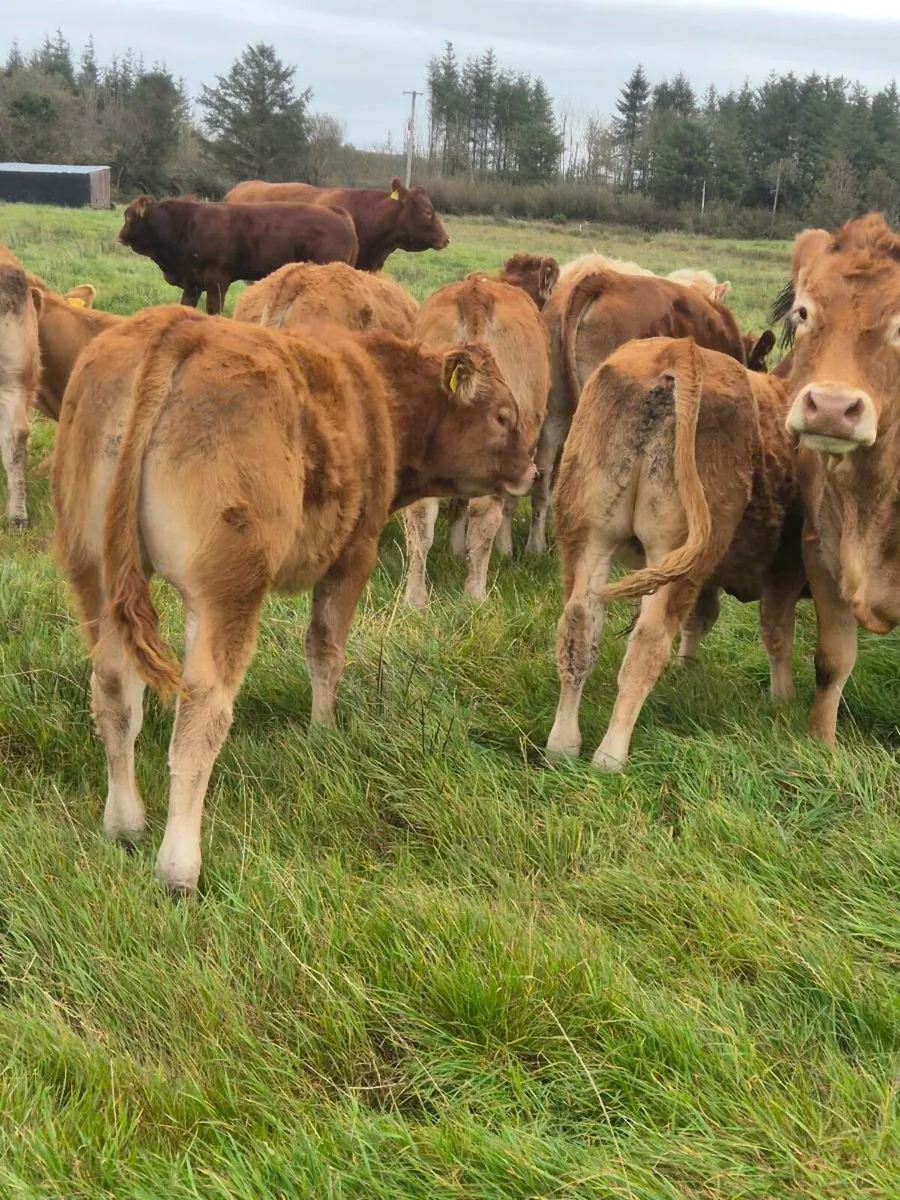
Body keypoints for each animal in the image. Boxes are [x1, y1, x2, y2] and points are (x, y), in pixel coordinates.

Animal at [51, 306, 536, 894]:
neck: (377, 394)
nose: (531, 470)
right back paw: (179, 868)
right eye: (503, 416)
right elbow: (325, 649)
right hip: (225, 589)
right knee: (201, 713)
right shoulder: (354, 553)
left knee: (114, 694)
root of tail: (178, 326)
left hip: (95, 572)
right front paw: (322, 733)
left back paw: (124, 825)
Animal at [118, 196, 359, 316]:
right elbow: (186, 305)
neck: (185, 224)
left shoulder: (216, 281)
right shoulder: (192, 282)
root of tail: (334, 211)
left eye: (129, 217)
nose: (120, 237)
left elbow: (213, 309)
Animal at [546, 336, 804, 771]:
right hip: (673, 553)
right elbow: (777, 636)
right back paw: (611, 755)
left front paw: (687, 667)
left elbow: (702, 618)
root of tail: (679, 350)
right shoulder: (783, 574)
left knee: (579, 624)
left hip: (589, 536)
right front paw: (783, 699)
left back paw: (563, 745)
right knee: (647, 643)